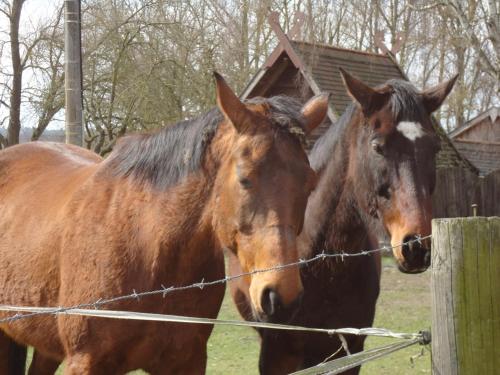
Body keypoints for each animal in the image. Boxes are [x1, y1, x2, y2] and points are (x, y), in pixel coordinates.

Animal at [0, 74, 328, 375]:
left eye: (310, 184)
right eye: (244, 178)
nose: (280, 297)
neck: (147, 246)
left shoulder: (186, 361)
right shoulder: (85, 362)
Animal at [228, 70, 458, 374]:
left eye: (435, 148)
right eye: (377, 146)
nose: (416, 246)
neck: (321, 263)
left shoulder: (351, 348)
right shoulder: (278, 355)